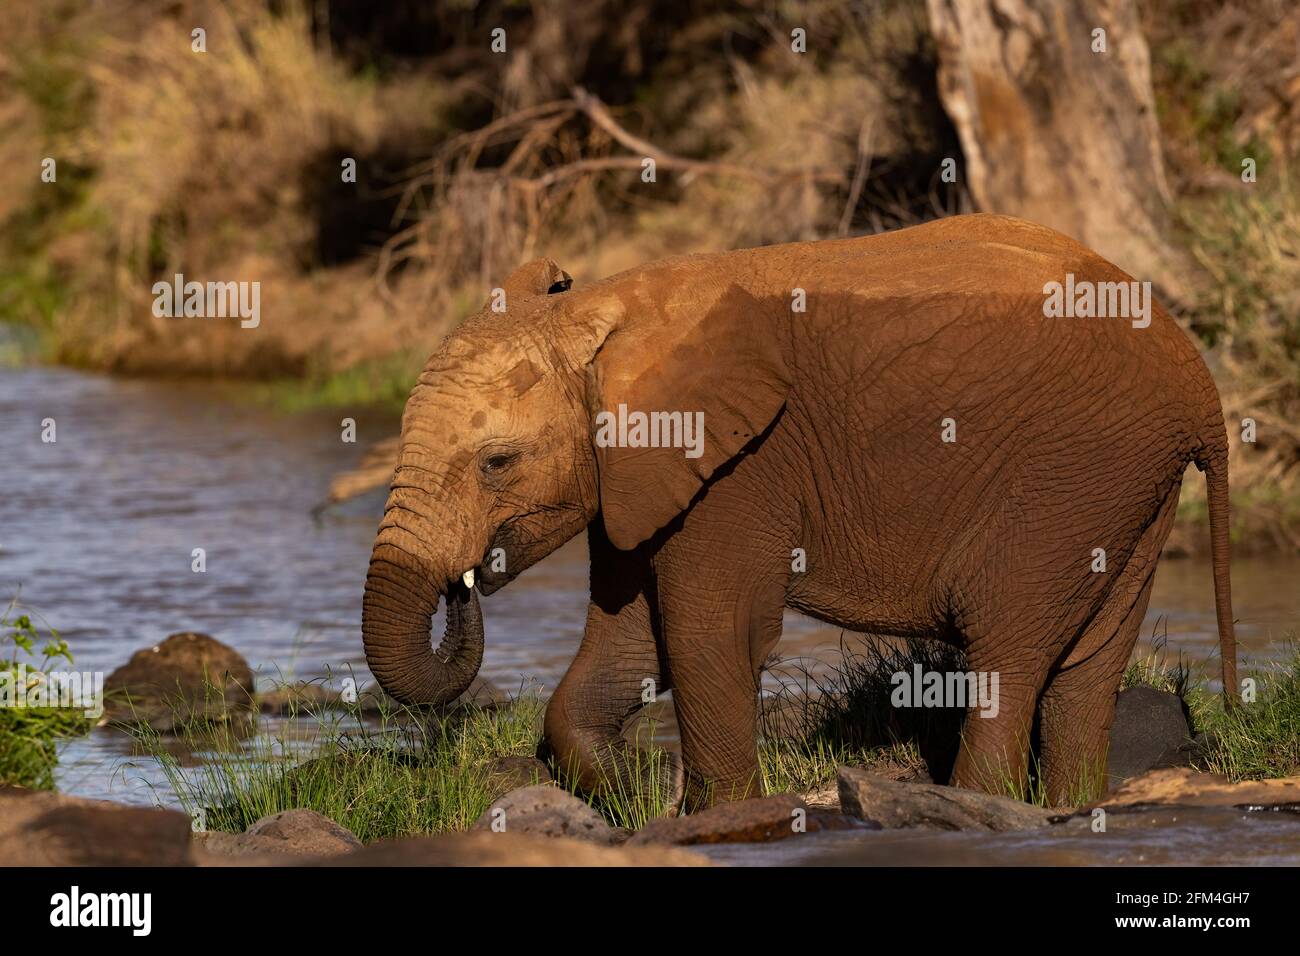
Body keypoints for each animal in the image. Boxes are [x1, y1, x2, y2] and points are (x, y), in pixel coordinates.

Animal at [358, 214, 1237, 806]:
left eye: (497, 464)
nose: (466, 585)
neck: (606, 310)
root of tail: (1199, 377)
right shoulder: (638, 472)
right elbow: (628, 638)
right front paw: (632, 798)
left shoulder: (743, 465)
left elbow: (711, 632)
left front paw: (716, 814)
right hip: (1128, 488)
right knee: (1090, 664)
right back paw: (1073, 811)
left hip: (1074, 472)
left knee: (1009, 646)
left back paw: (978, 805)